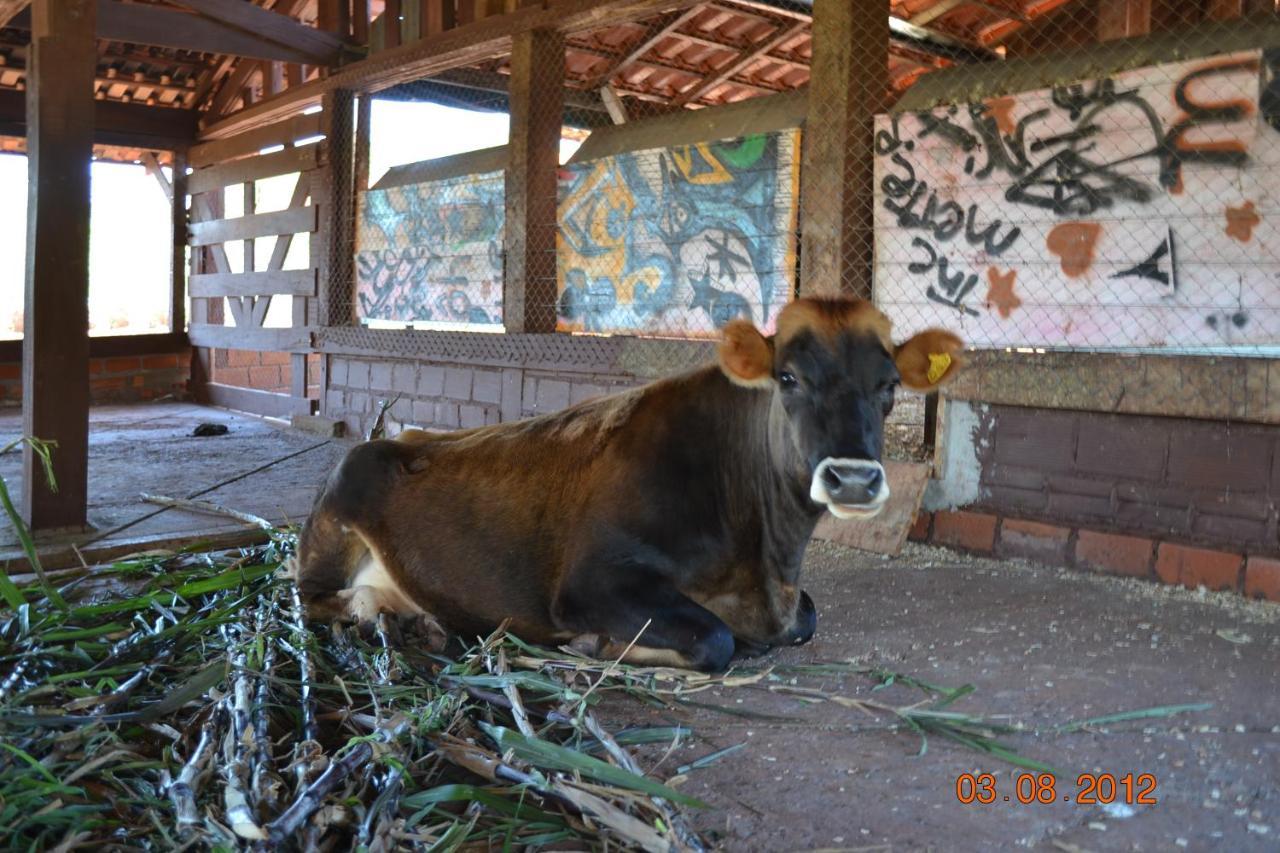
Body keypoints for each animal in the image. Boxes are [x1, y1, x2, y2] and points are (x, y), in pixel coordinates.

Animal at [296, 298, 962, 671]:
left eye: (889, 386)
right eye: (789, 377)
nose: (853, 478)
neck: (768, 559)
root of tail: (401, 437)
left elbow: (808, 618)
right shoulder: (590, 582)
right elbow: (716, 639)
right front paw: (599, 645)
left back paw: (420, 622)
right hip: (337, 510)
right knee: (312, 597)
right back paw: (377, 617)